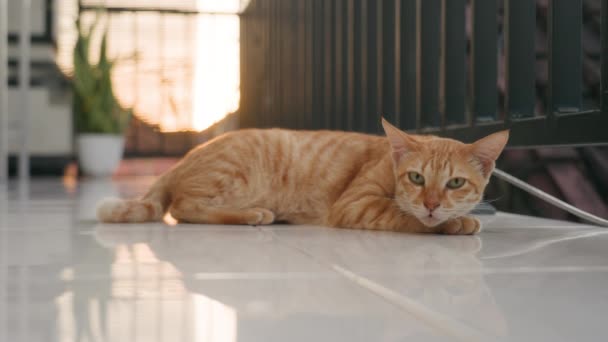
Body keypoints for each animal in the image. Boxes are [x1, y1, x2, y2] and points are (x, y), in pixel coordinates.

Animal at [98, 119, 508, 234]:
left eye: (455, 183)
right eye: (417, 178)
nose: (433, 204)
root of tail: (184, 158)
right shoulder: (356, 204)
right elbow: (406, 217)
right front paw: (453, 223)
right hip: (235, 171)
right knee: (184, 207)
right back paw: (254, 214)